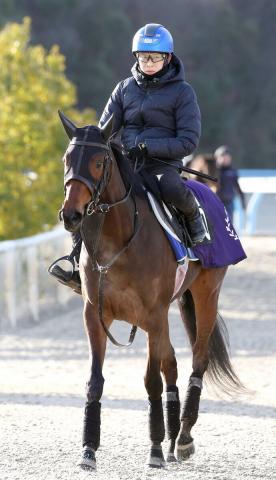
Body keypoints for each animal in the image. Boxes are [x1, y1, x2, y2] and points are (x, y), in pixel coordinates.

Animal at [57, 111, 242, 468]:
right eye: (66, 159)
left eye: (99, 162)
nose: (71, 214)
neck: (117, 242)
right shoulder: (96, 315)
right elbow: (96, 381)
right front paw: (88, 449)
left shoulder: (153, 315)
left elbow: (151, 381)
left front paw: (154, 449)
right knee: (172, 363)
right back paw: (172, 438)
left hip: (205, 296)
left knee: (197, 362)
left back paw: (182, 439)